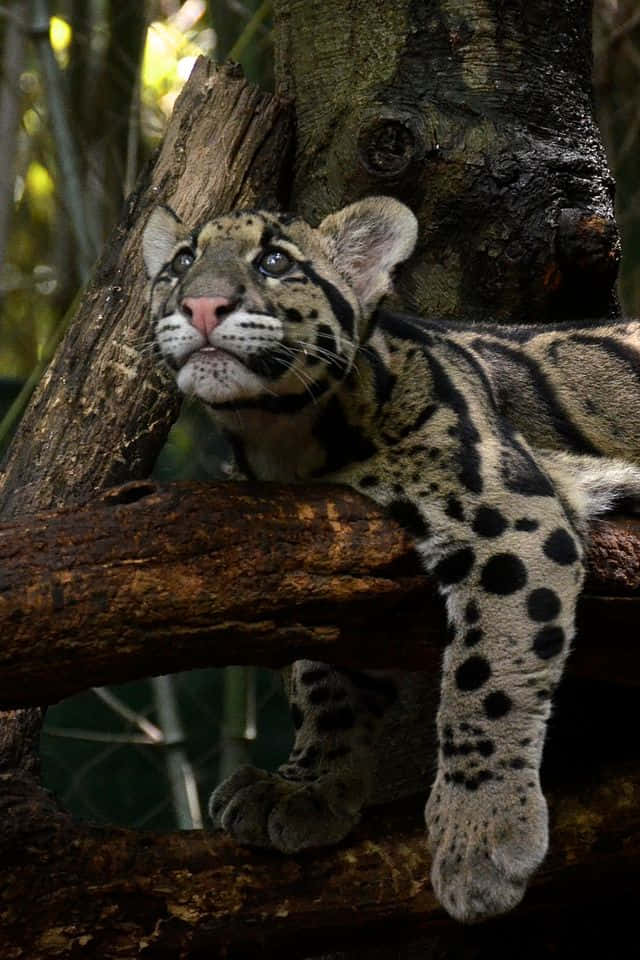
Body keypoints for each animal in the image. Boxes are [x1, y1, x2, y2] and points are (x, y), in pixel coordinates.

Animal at [142, 196, 640, 923]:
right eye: (181, 263)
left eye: (275, 261)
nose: (202, 303)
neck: (288, 441)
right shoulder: (314, 554)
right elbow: (319, 678)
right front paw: (308, 785)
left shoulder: (511, 513)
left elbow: (486, 674)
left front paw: (481, 831)